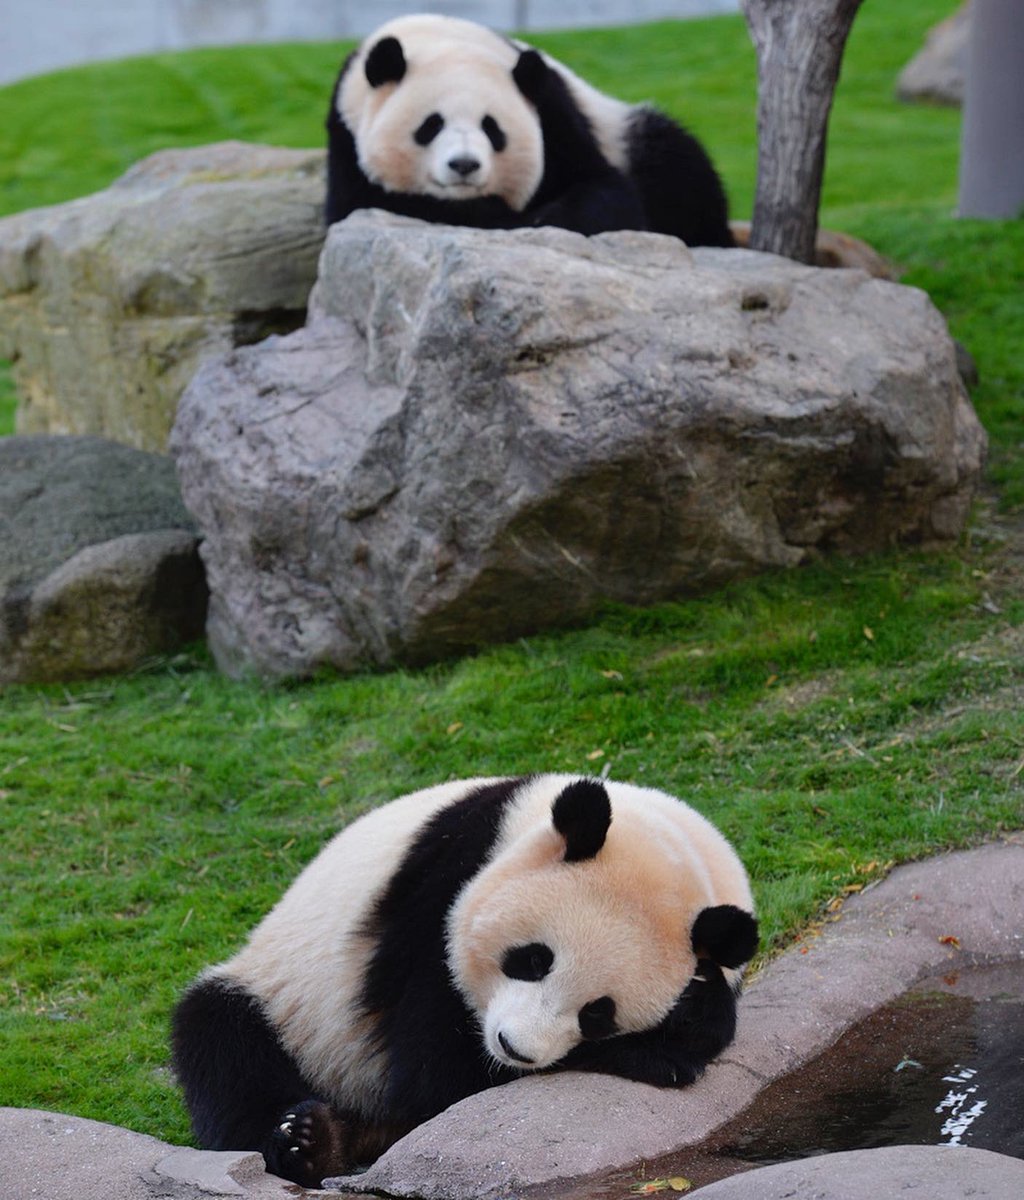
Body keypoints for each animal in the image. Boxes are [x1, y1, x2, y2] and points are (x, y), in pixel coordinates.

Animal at [171, 775, 757, 1188]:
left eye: (597, 1013)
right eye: (533, 960)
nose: (514, 1048)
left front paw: (684, 1027)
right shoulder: (435, 899)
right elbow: (438, 1078)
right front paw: (655, 1056)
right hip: (292, 1003)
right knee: (225, 1047)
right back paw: (309, 1143)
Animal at [326, 14, 734, 247]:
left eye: (492, 129)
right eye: (431, 125)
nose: (464, 165)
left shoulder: (554, 113)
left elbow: (603, 191)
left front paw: (541, 221)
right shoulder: (345, 135)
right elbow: (363, 206)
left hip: (625, 131)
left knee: (679, 169)